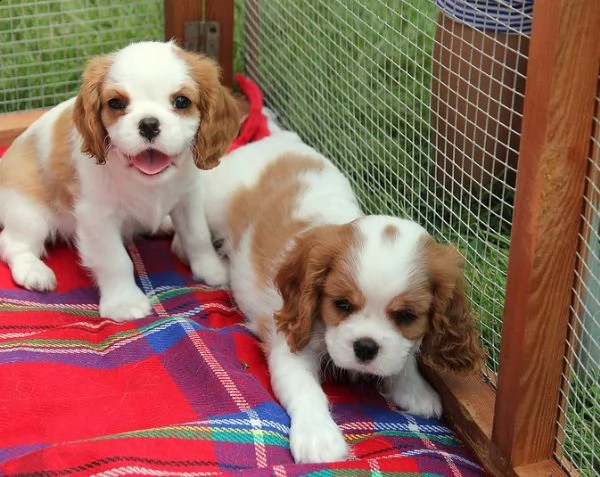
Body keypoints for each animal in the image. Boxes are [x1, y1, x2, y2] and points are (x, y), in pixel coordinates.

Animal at [0, 41, 239, 320]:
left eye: (182, 101)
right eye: (116, 103)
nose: (149, 124)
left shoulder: (188, 199)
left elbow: (198, 236)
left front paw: (213, 271)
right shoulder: (97, 217)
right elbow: (115, 260)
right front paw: (124, 302)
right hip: (29, 215)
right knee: (13, 243)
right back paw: (34, 271)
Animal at [192, 117, 482, 462]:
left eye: (406, 316)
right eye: (341, 305)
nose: (366, 347)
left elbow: (405, 354)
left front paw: (414, 388)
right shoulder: (291, 344)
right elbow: (307, 391)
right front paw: (318, 436)